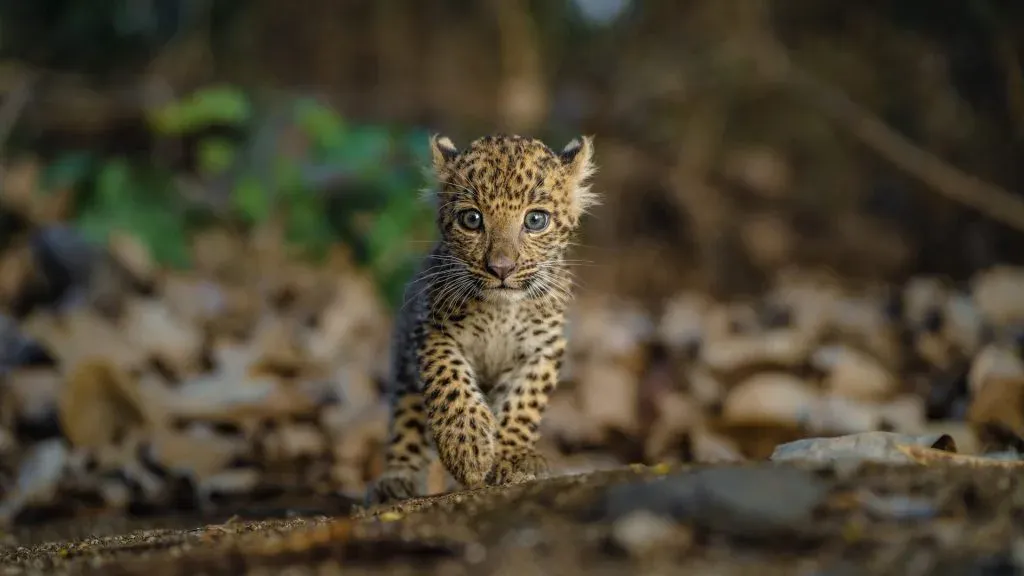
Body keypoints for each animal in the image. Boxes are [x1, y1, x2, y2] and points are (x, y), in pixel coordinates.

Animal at [364, 133, 597, 505]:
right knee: (406, 421)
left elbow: (524, 401)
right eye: (472, 220)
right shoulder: (432, 330)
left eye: (536, 220)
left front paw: (512, 458)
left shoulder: (544, 348)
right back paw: (397, 480)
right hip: (403, 370)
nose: (501, 268)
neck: (500, 312)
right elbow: (450, 381)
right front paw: (467, 447)